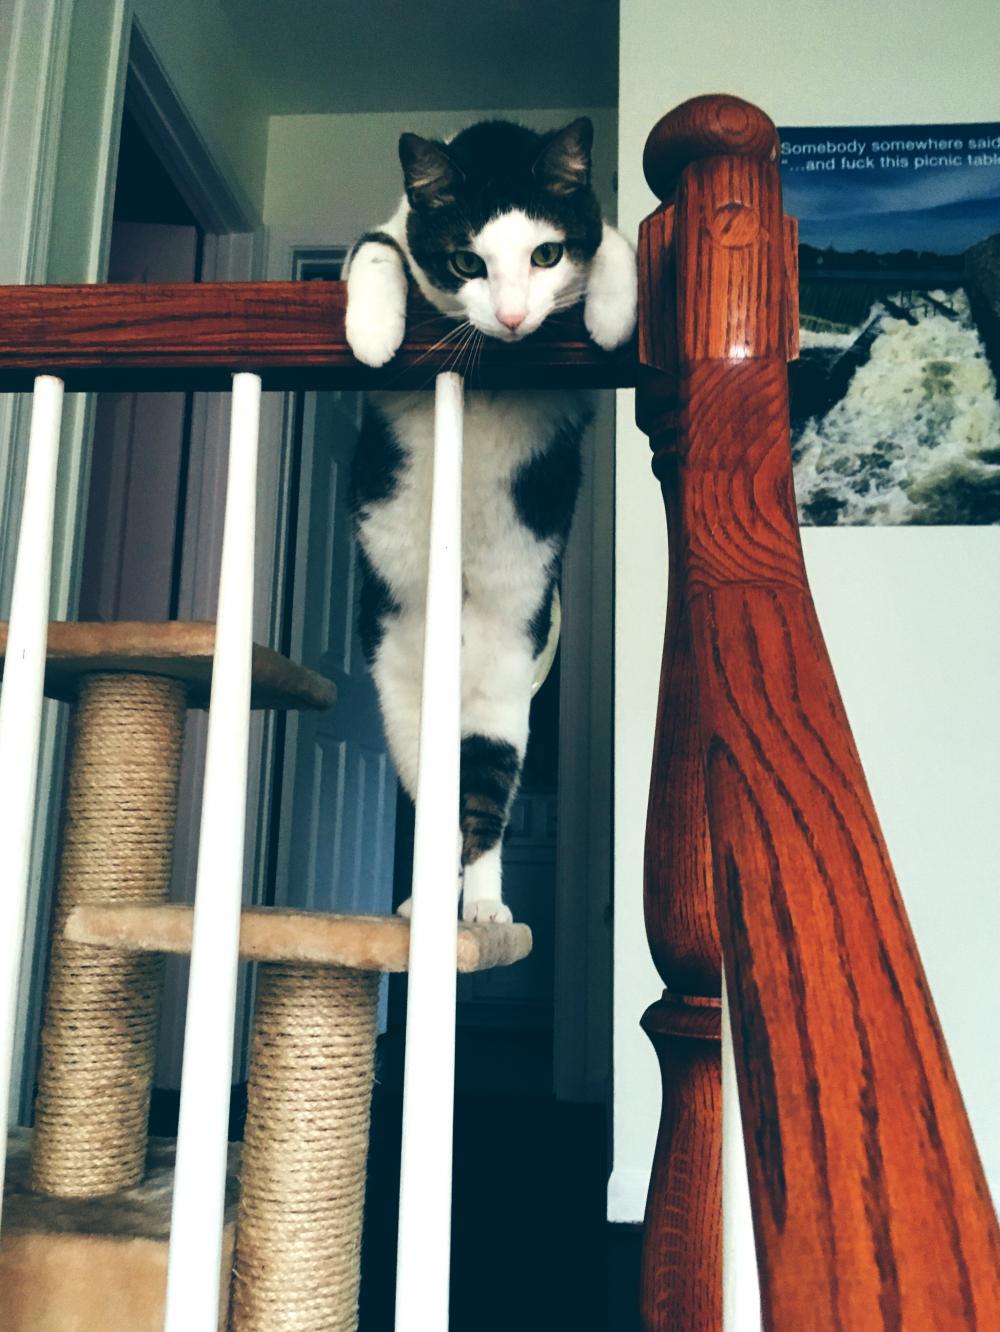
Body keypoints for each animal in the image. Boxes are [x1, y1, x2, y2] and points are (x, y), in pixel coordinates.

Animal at [348, 119, 636, 921]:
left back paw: (481, 912)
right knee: (443, 813)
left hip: (503, 698)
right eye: (467, 262)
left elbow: (612, 240)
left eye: (545, 255)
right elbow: (374, 249)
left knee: (485, 808)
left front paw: (610, 315)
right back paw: (426, 909)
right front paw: (372, 333)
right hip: (406, 705)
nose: (509, 318)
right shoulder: (392, 231)